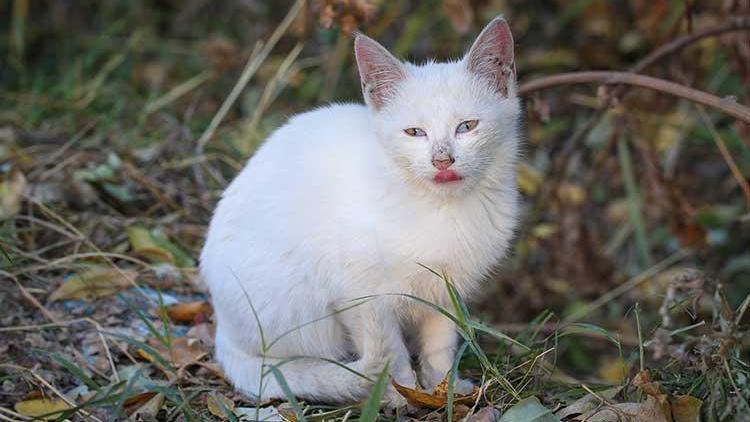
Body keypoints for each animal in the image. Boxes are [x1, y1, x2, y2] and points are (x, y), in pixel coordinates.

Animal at [203, 16, 524, 406]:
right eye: (414, 132)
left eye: (467, 126)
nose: (442, 159)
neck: (440, 210)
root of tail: (222, 331)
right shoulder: (359, 293)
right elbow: (391, 352)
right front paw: (402, 395)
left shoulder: (447, 290)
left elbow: (439, 344)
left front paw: (441, 390)